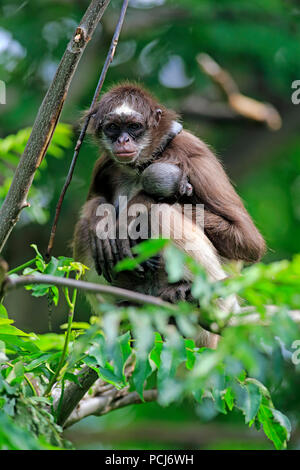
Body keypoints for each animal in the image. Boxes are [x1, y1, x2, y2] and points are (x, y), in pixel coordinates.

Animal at [73, 83, 264, 312]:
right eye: (112, 127)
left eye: (134, 126)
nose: (123, 140)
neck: (140, 167)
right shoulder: (105, 163)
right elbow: (95, 201)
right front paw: (101, 222)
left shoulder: (192, 153)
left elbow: (249, 242)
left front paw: (137, 206)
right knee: (84, 228)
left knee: (160, 212)